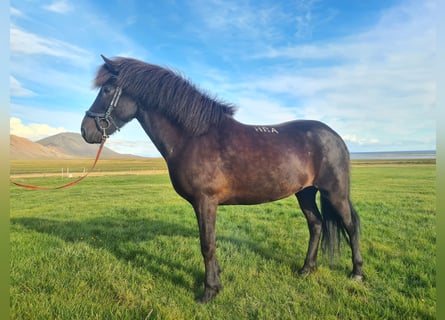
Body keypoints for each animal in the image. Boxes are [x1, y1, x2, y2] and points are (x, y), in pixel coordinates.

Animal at [81, 55, 362, 302]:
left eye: (107, 89)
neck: (194, 137)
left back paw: (357, 273)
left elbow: (207, 244)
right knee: (316, 225)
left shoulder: (205, 201)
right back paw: (306, 269)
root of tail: (334, 136)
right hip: (305, 192)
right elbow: (210, 243)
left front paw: (209, 291)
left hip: (334, 192)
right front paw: (216, 279)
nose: (85, 131)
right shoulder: (204, 204)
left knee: (351, 225)